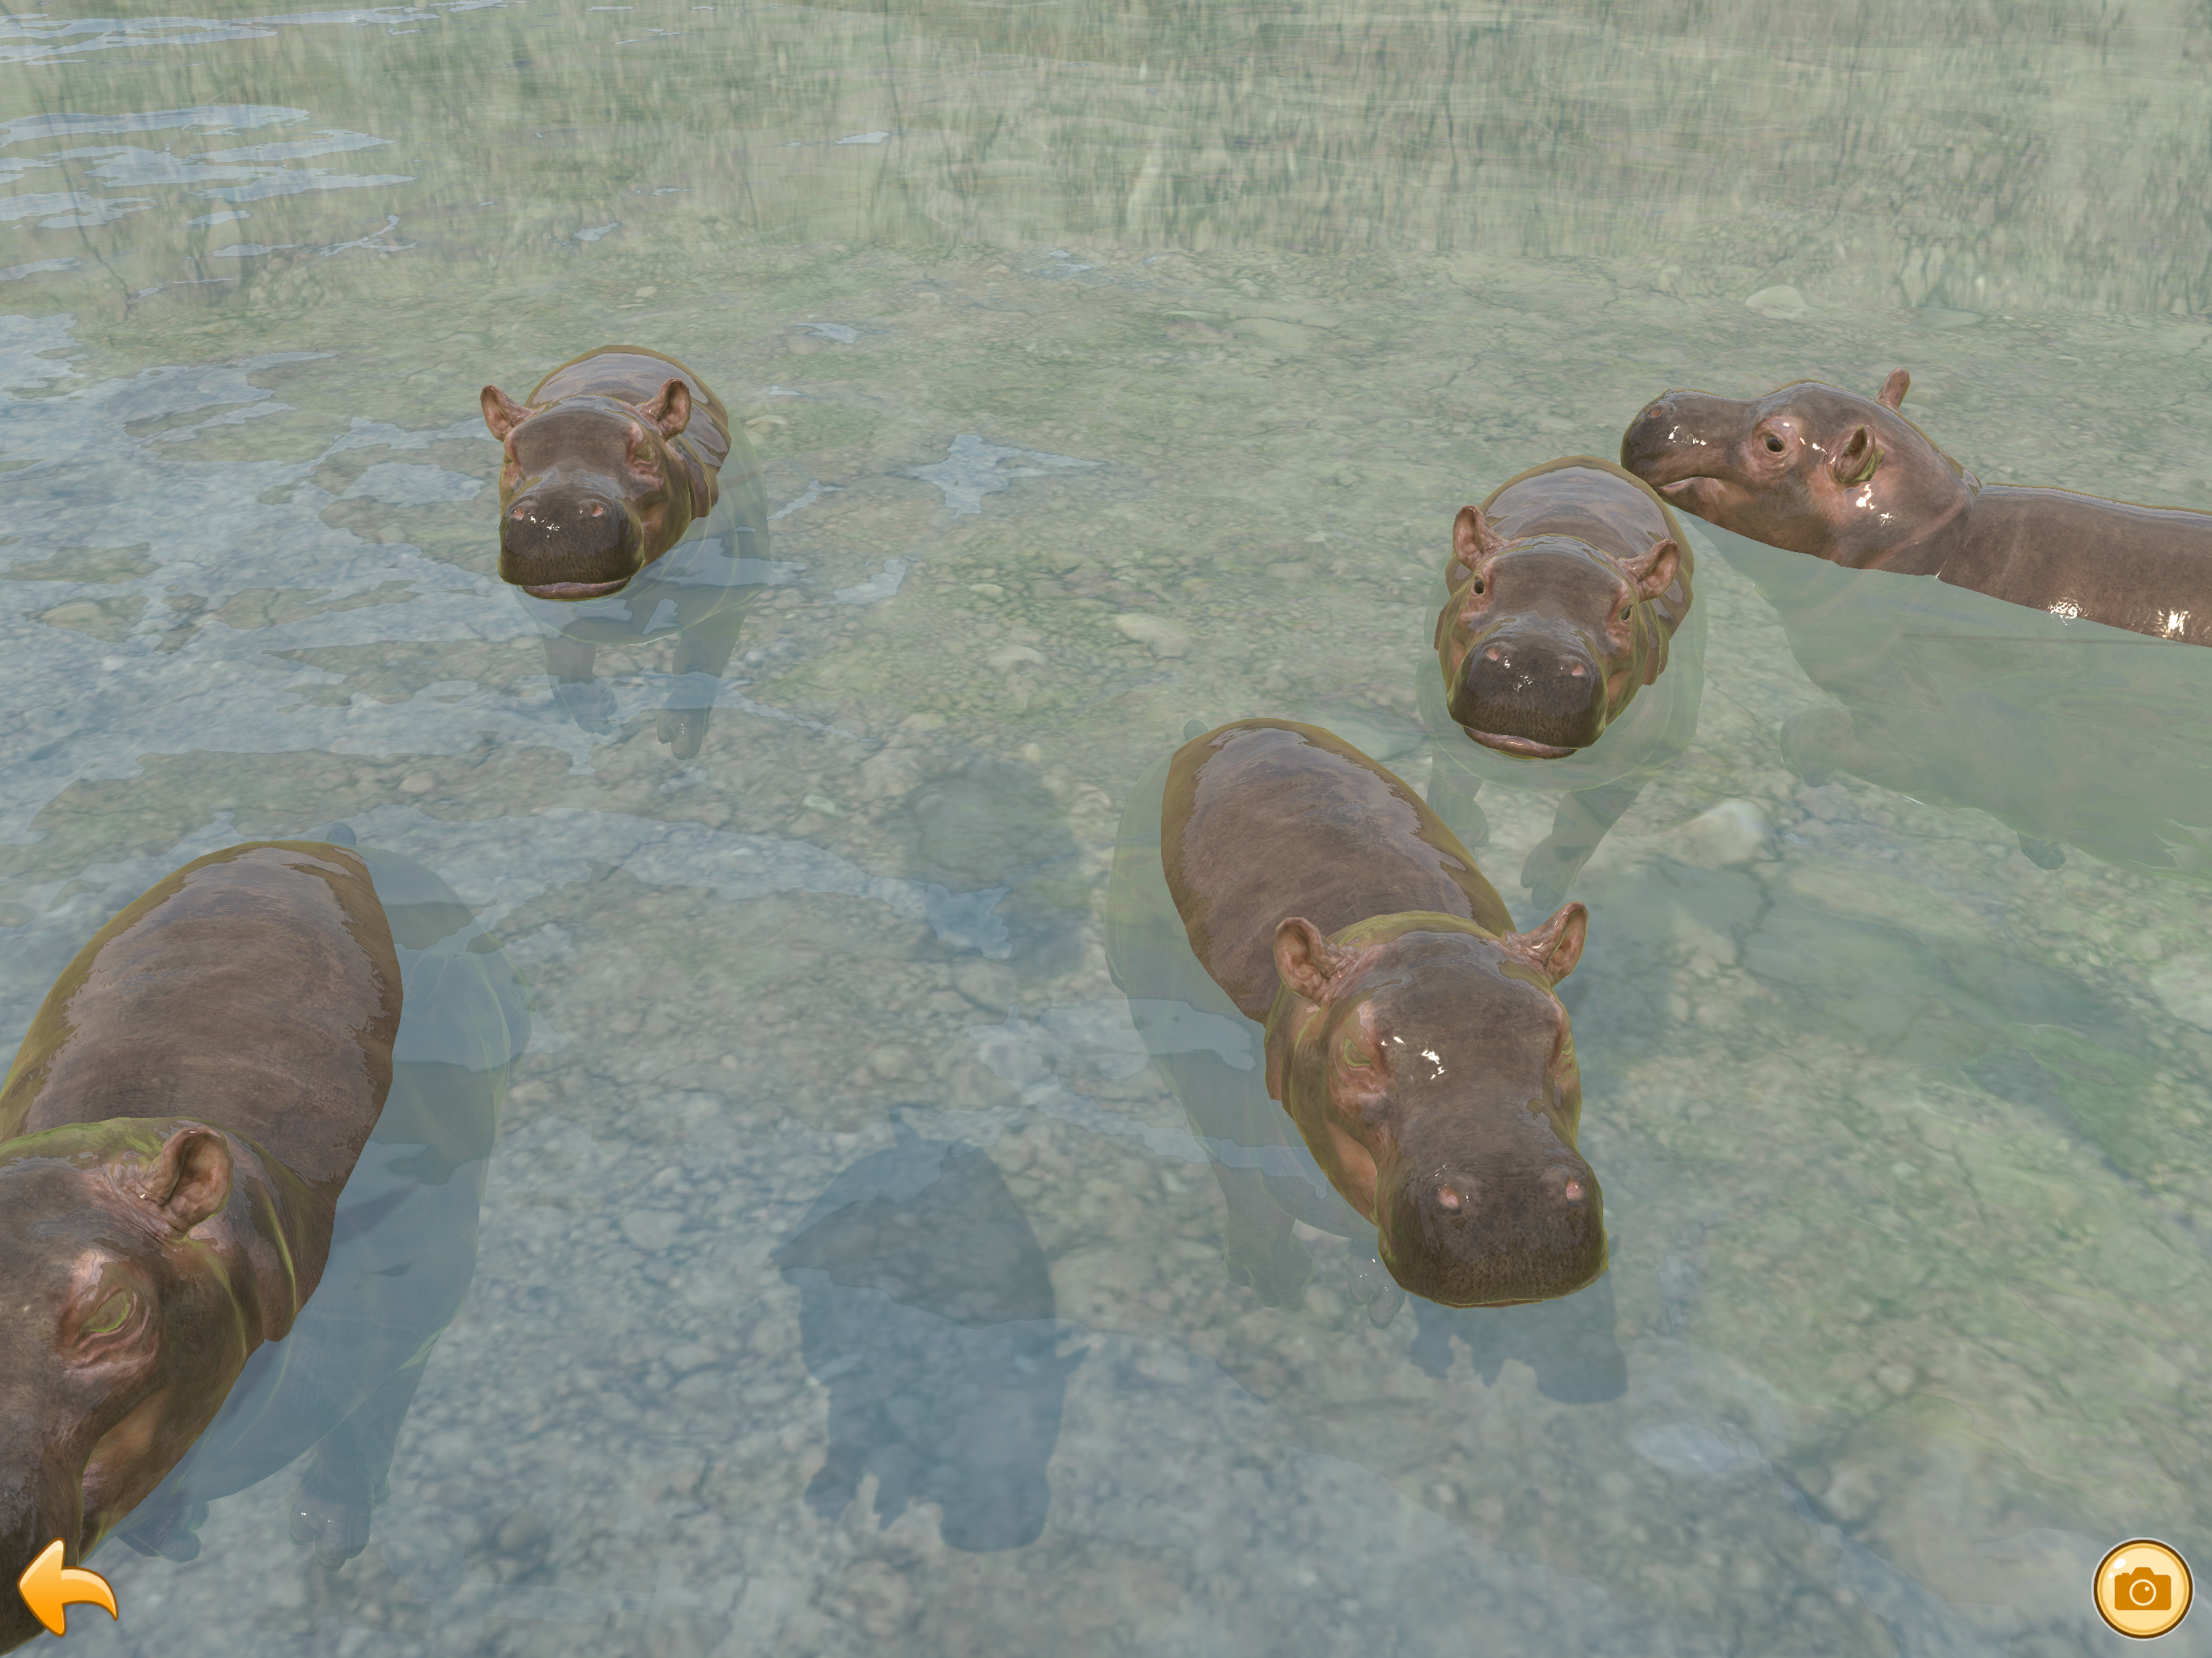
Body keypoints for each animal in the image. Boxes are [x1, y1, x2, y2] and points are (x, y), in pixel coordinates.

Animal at [482, 346, 775, 758]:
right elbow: (565, 658)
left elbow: (698, 663)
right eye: (509, 455)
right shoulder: (549, 610)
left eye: (645, 451)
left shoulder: (732, 597)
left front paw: (680, 738)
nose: (556, 517)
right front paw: (596, 715)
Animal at [1157, 719, 1604, 1308]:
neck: (1399, 922)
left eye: (1564, 1035)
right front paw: (1278, 1283)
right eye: (1353, 1052)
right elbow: (1246, 1192)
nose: (1515, 1205)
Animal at [1421, 456, 1702, 910]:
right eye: (1478, 584)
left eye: (1626, 611)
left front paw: (1545, 888)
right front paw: (1462, 843)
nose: (1533, 668)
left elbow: (1585, 822)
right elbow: (1453, 785)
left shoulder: (1649, 755)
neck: (1571, 540)